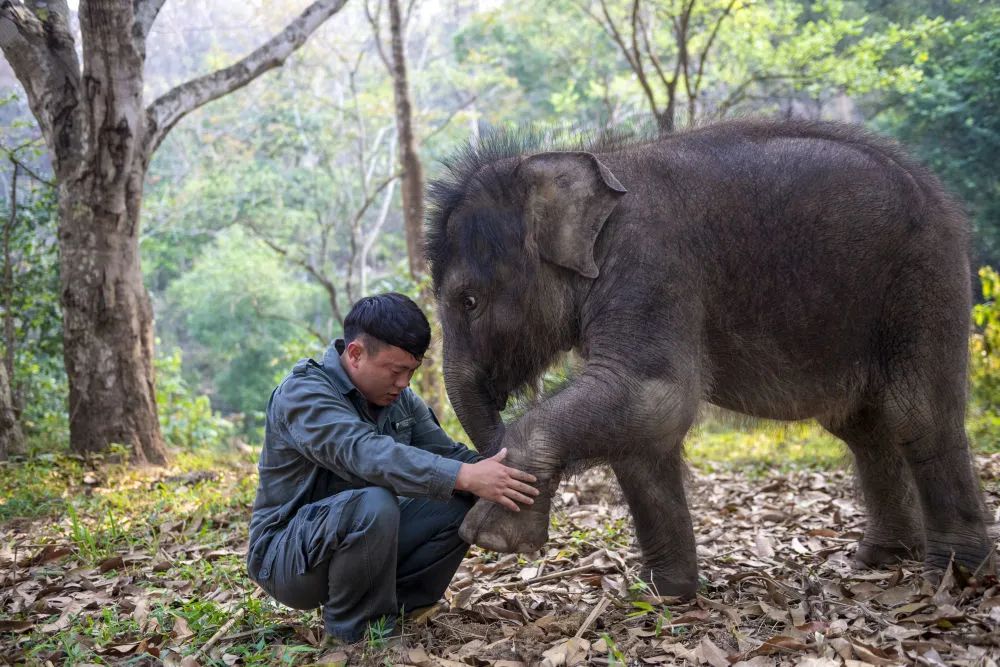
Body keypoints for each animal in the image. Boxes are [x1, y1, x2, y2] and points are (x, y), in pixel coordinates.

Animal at [422, 118, 992, 596]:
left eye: (468, 301)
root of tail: (939, 194)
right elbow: (643, 432)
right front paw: (663, 592)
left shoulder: (652, 264)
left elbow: (657, 396)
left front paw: (495, 536)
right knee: (863, 426)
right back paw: (882, 558)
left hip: (923, 277)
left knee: (916, 412)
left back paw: (956, 575)